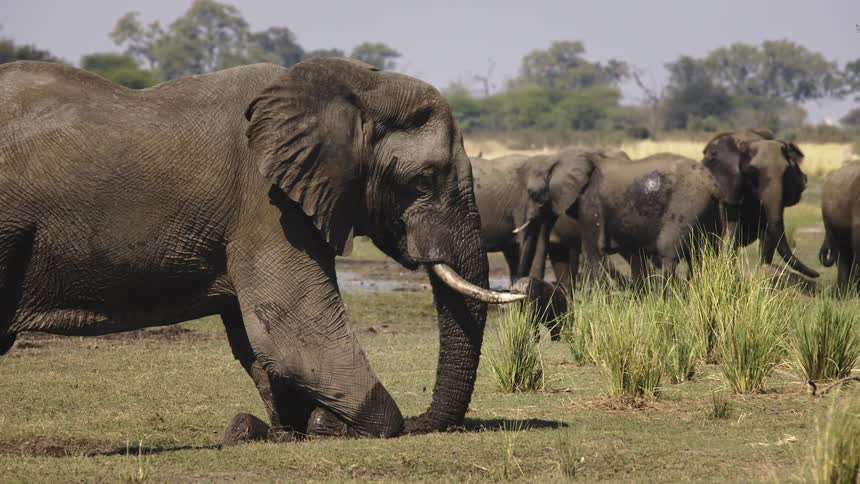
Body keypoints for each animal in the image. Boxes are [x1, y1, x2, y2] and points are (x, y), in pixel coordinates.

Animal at [0, 58, 523, 441]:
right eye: (423, 181)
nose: (423, 422)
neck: (354, 86)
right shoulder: (267, 205)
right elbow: (293, 335)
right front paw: (333, 426)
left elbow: (261, 344)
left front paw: (274, 429)